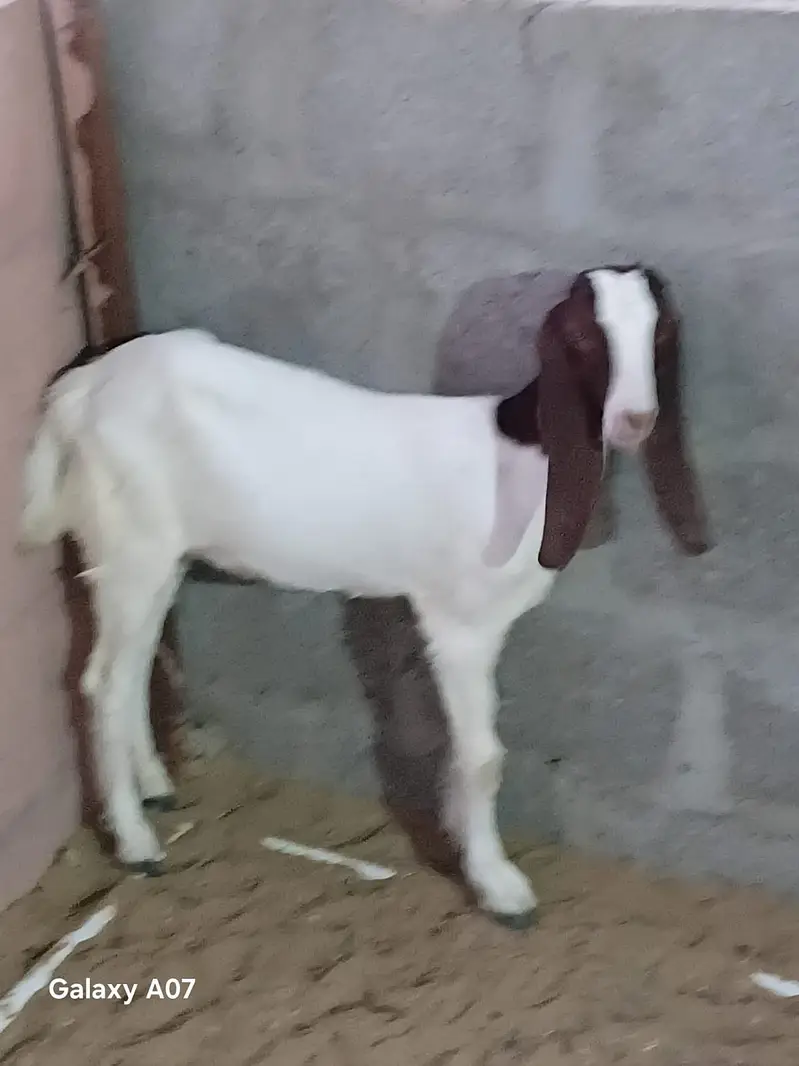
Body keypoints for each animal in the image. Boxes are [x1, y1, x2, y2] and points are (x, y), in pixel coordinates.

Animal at [20, 266, 710, 927]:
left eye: (660, 334)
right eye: (583, 338)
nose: (633, 421)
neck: (517, 457)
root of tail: (80, 390)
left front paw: (460, 838)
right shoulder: (458, 622)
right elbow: (482, 756)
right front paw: (499, 887)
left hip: (160, 556)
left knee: (132, 671)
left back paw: (156, 786)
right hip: (130, 545)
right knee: (103, 684)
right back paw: (137, 844)